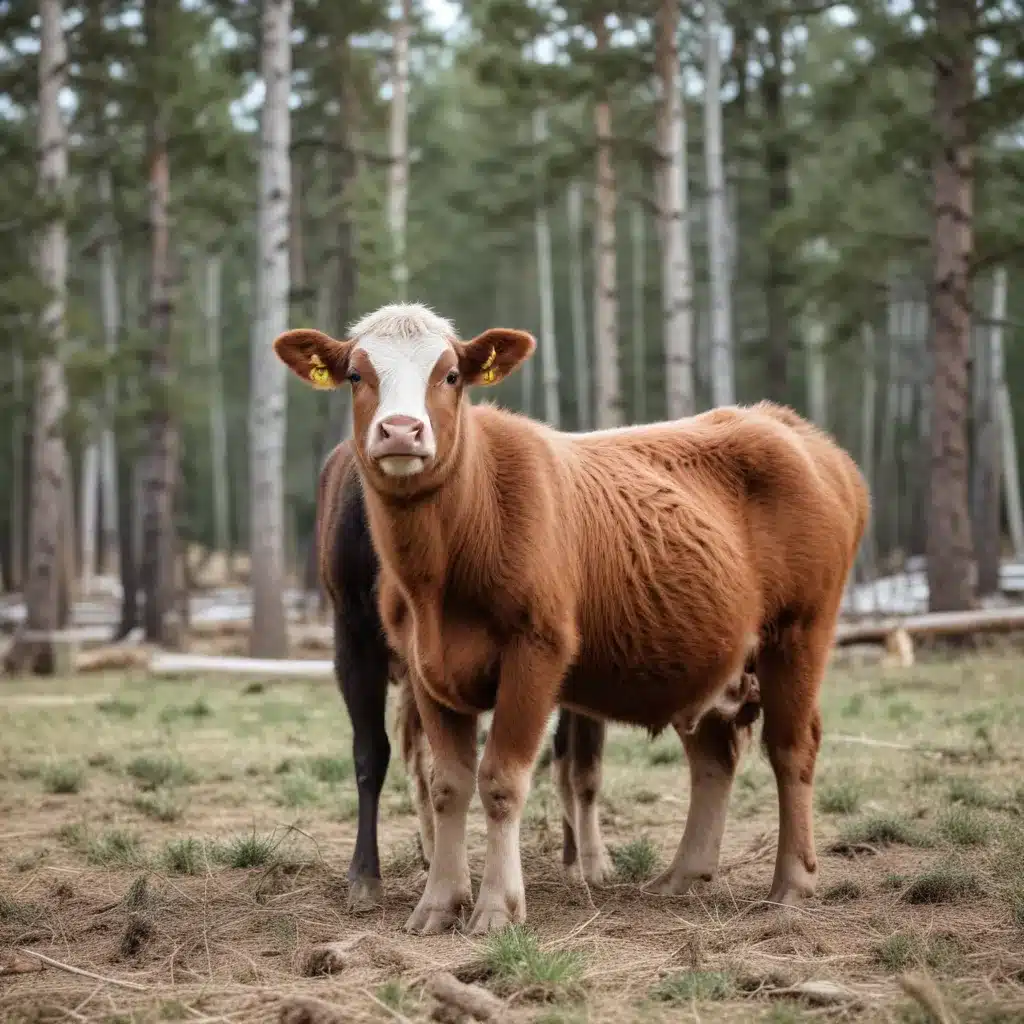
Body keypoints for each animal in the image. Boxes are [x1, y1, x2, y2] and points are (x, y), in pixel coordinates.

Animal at [272, 299, 864, 933]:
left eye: (450, 375)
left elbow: (502, 779)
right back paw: (682, 875)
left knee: (791, 748)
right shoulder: (425, 665)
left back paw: (792, 884)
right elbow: (448, 782)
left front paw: (497, 907)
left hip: (799, 633)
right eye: (356, 375)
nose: (402, 430)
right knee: (713, 758)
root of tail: (793, 429)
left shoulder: (537, 652)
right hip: (709, 656)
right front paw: (439, 903)